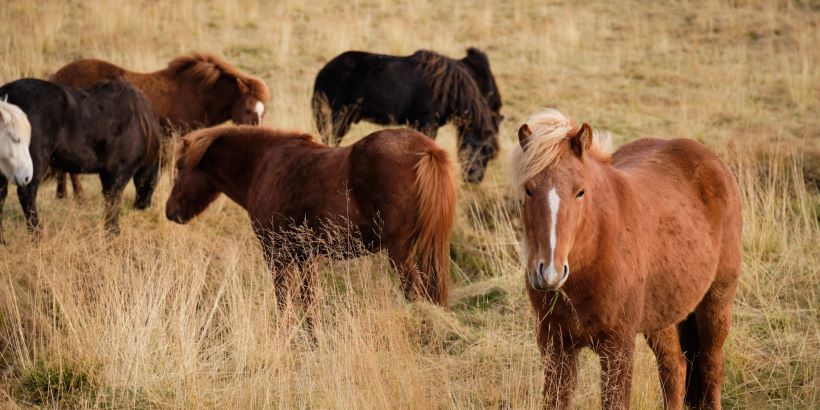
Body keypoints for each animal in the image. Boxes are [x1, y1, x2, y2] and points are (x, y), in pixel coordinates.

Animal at [0, 78, 161, 239]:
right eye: (155, 180)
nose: (144, 205)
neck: (140, 124)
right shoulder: (119, 172)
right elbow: (114, 200)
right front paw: (113, 232)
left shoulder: (107, 173)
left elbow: (108, 199)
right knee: (27, 195)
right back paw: (37, 235)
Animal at [50, 52, 270, 198]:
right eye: (248, 109)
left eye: (263, 111)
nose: (256, 136)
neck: (196, 93)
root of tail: (59, 76)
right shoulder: (175, 136)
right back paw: (75, 194)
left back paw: (66, 194)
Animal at [165, 125, 455, 332]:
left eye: (179, 168)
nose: (171, 211)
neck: (262, 163)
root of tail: (428, 151)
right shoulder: (307, 256)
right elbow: (310, 301)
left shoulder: (277, 254)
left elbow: (284, 301)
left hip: (401, 254)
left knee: (417, 295)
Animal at [312, 48, 501, 183]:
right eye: (483, 149)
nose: (474, 180)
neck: (447, 90)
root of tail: (322, 72)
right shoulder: (427, 124)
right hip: (334, 118)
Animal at [513, 109, 742, 409]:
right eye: (528, 189)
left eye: (580, 191)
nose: (549, 272)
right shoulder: (556, 347)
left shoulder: (618, 347)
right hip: (662, 317)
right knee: (674, 369)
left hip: (717, 302)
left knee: (710, 367)